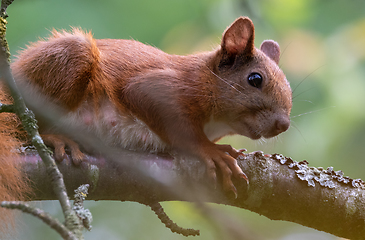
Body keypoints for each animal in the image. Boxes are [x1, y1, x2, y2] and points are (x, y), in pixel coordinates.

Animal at [0, 16, 290, 212]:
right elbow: (178, 128)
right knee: (24, 126)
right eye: (255, 79)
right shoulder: (160, 88)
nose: (283, 124)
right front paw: (211, 151)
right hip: (67, 61)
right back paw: (54, 138)